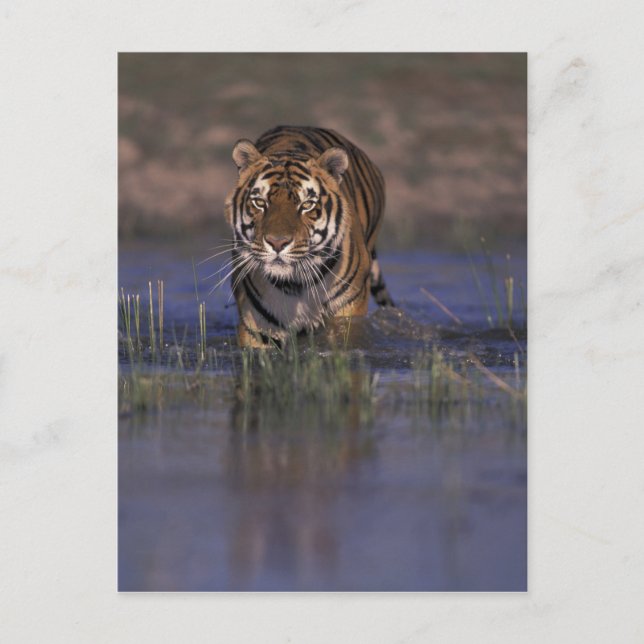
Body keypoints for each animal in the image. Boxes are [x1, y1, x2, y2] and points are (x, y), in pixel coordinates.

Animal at [224, 125, 394, 348]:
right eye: (260, 202)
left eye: (306, 205)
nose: (277, 242)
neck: (294, 285)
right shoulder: (257, 322)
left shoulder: (347, 309)